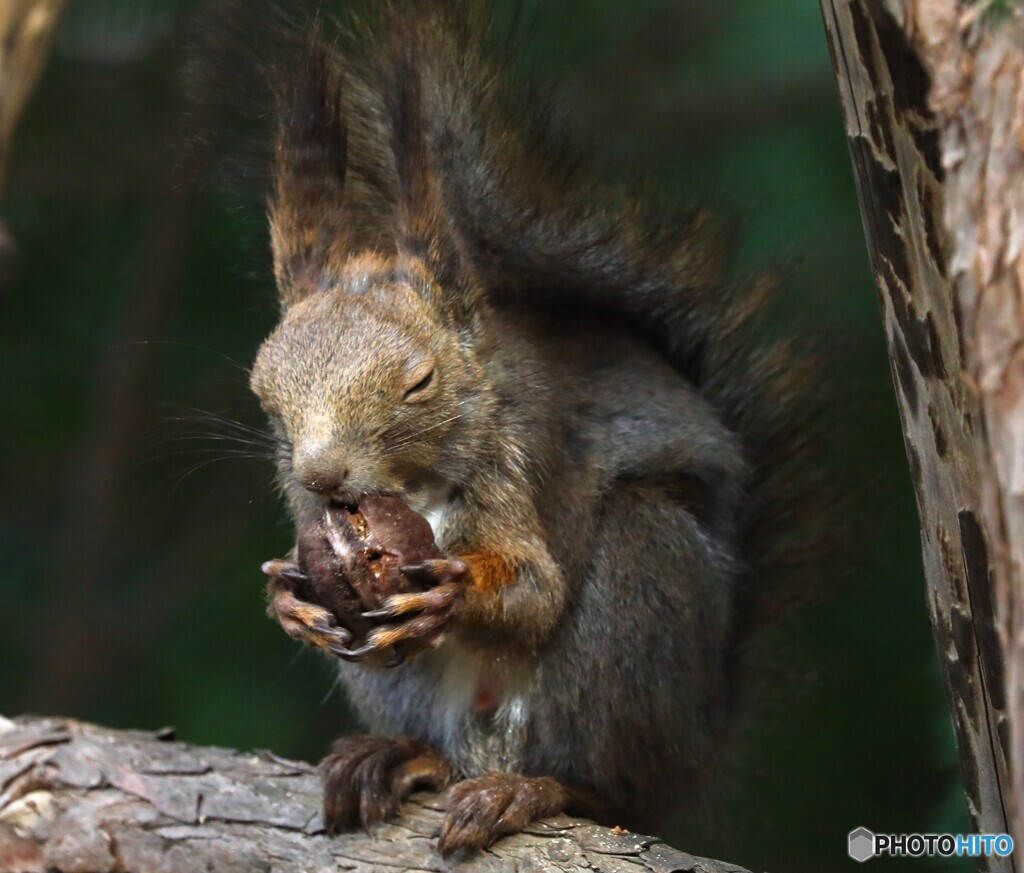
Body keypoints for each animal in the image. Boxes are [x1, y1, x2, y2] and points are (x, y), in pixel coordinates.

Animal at [205, 0, 831, 859]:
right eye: (264, 391)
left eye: (419, 382)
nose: (324, 475)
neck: (411, 488)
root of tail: (698, 749)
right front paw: (290, 598)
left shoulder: (514, 465)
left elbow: (535, 590)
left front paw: (453, 593)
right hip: (395, 684)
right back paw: (400, 756)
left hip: (641, 588)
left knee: (609, 783)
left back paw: (533, 788)